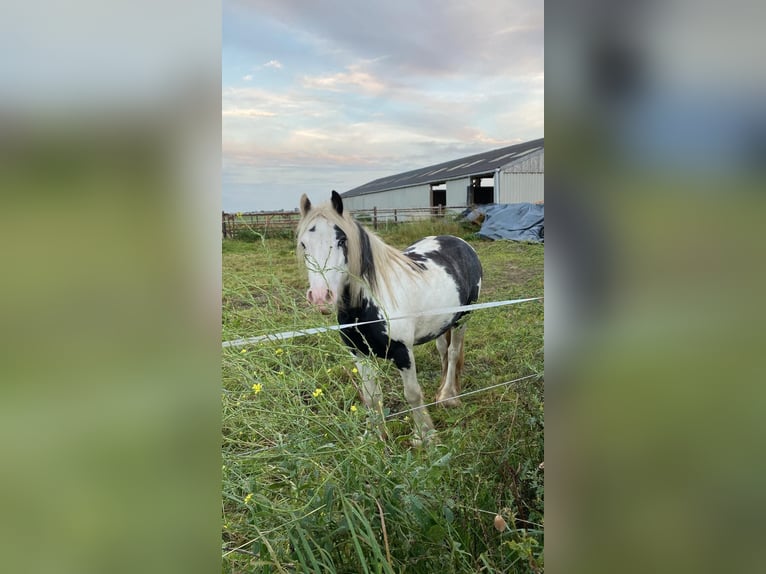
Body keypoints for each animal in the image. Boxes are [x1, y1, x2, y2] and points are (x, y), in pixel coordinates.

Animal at [296, 192, 484, 446]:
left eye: (342, 241)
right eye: (304, 244)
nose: (320, 297)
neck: (369, 303)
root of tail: (461, 243)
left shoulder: (403, 352)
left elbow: (412, 394)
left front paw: (425, 437)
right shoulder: (359, 354)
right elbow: (372, 397)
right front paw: (376, 437)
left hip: (462, 319)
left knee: (454, 353)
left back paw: (448, 396)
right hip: (441, 324)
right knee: (443, 352)